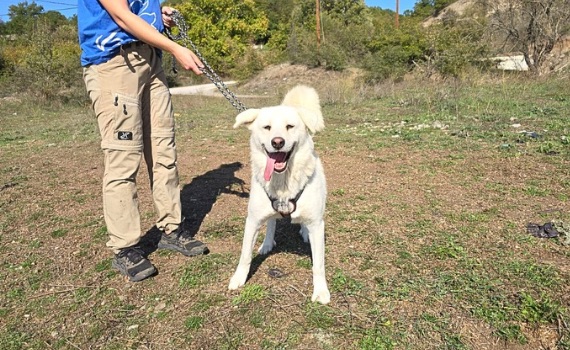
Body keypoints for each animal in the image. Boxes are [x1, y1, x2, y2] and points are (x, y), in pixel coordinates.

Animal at [227, 84, 328, 304]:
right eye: (267, 127)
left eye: (290, 126)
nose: (278, 142)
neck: (283, 182)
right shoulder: (252, 220)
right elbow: (245, 255)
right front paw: (238, 278)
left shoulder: (317, 224)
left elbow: (318, 264)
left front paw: (321, 291)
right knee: (272, 221)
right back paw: (266, 243)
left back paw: (303, 232)